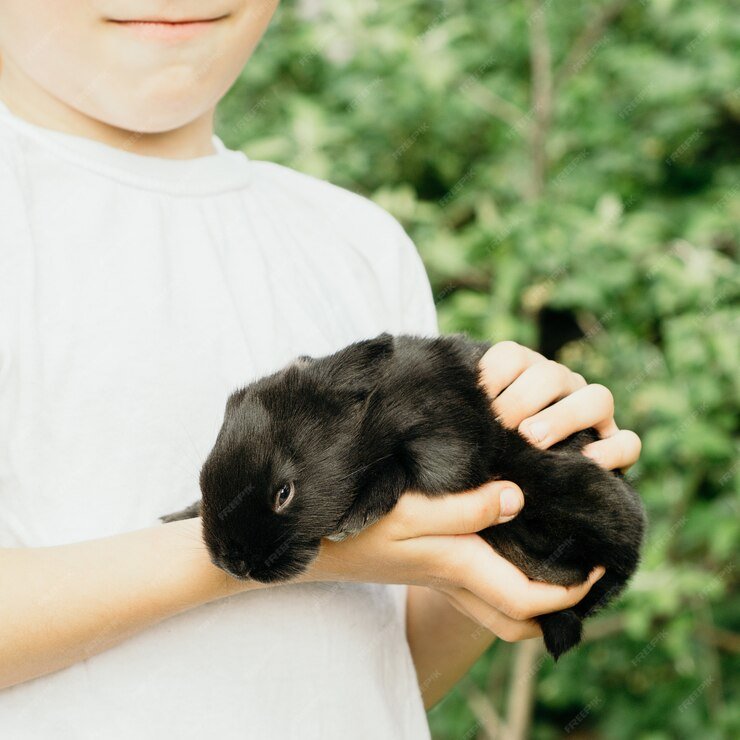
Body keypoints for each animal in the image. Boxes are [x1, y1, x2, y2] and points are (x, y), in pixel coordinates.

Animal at [160, 332, 640, 656]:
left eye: (283, 492)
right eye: (203, 474)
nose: (232, 562)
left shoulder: (449, 440)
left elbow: (406, 465)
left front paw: (358, 514)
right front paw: (177, 515)